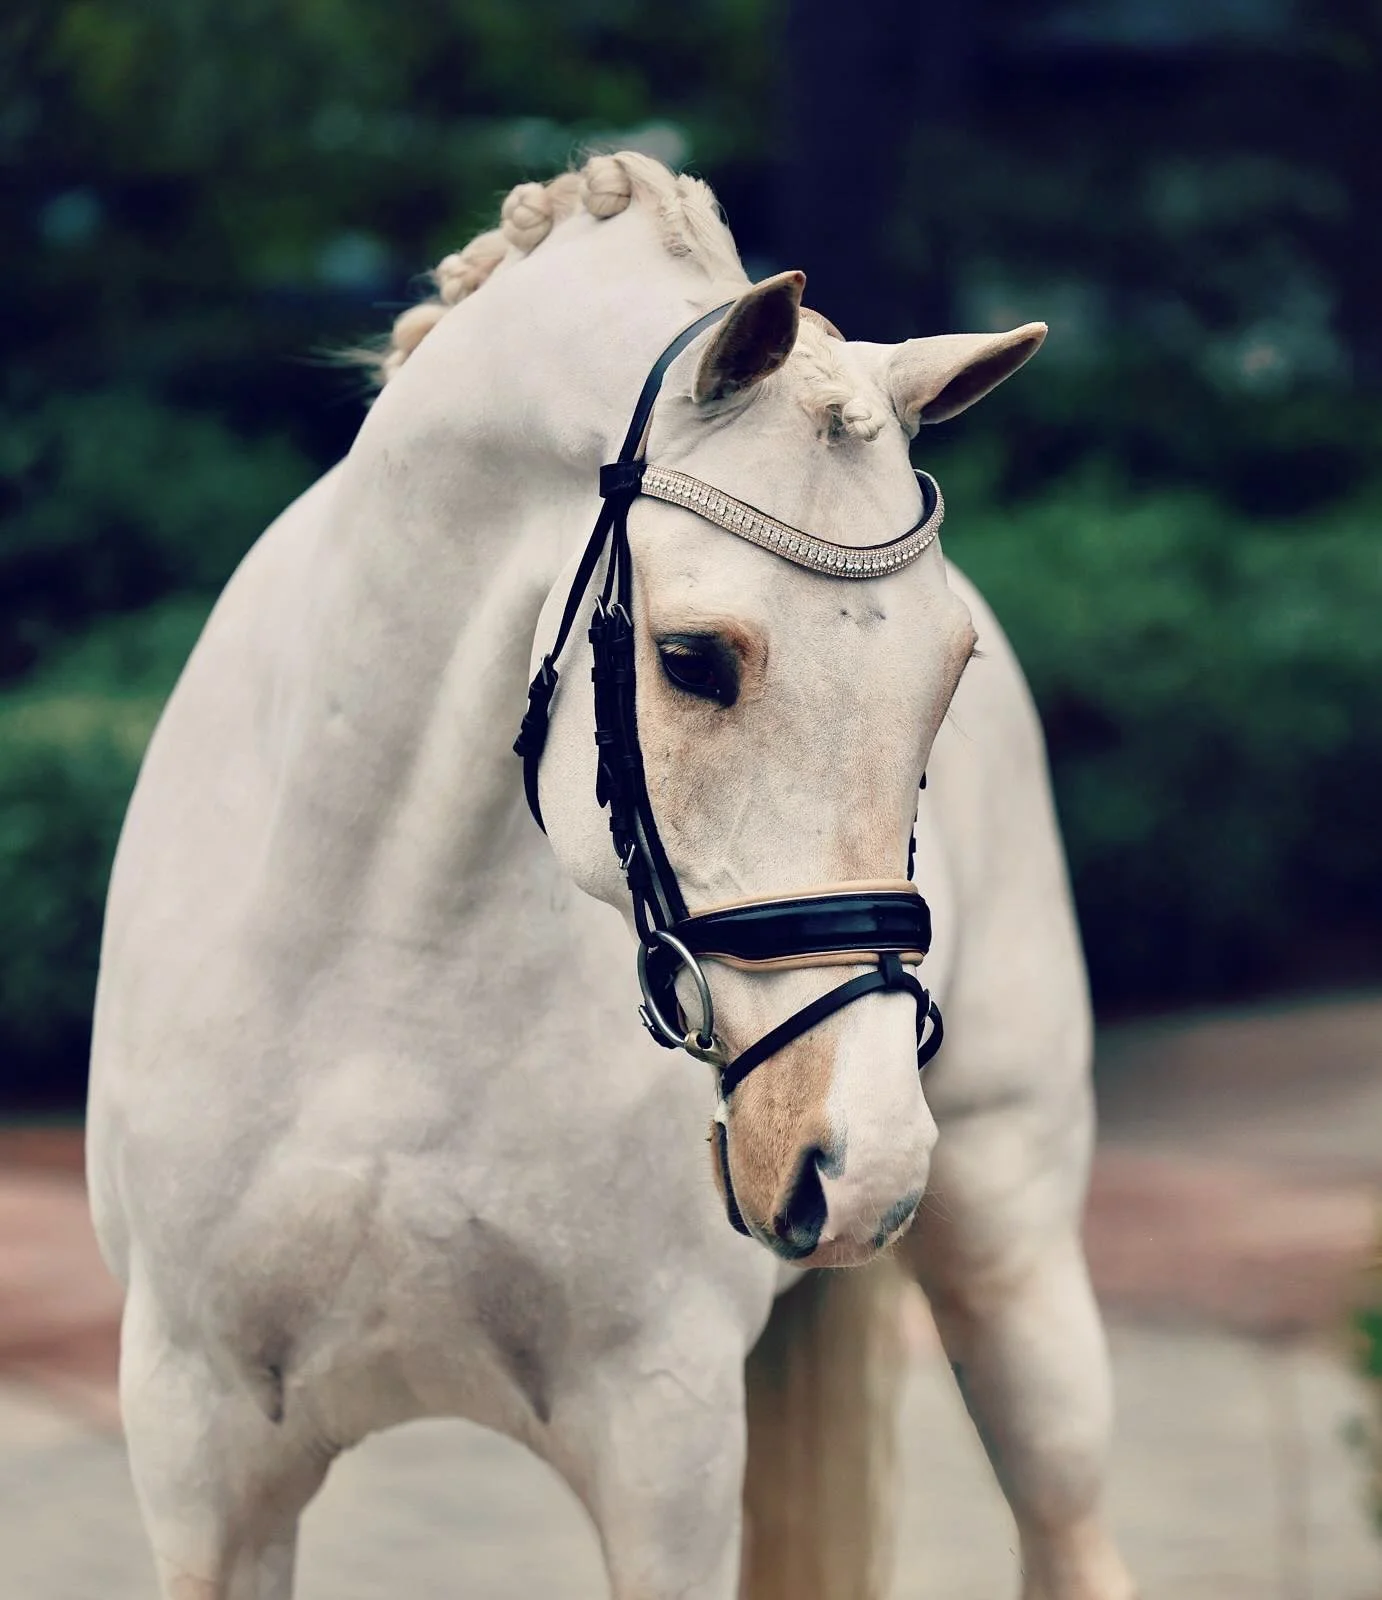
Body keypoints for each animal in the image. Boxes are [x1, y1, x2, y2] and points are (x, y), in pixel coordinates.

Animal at [86, 152, 1135, 1600]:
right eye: (693, 659)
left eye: (949, 671)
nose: (859, 1160)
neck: (386, 969)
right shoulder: (202, 1457)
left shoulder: (662, 1439)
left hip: (1012, 1261)